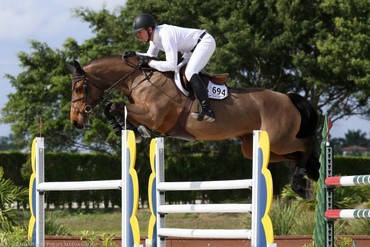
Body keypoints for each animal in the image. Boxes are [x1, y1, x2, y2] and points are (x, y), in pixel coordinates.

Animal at [70, 53, 320, 199]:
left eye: (79, 88)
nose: (76, 121)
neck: (138, 79)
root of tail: (287, 97)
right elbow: (113, 108)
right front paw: (130, 129)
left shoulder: (153, 115)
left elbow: (113, 105)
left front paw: (133, 129)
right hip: (255, 147)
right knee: (295, 155)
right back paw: (304, 180)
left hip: (278, 138)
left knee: (307, 144)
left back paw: (304, 176)